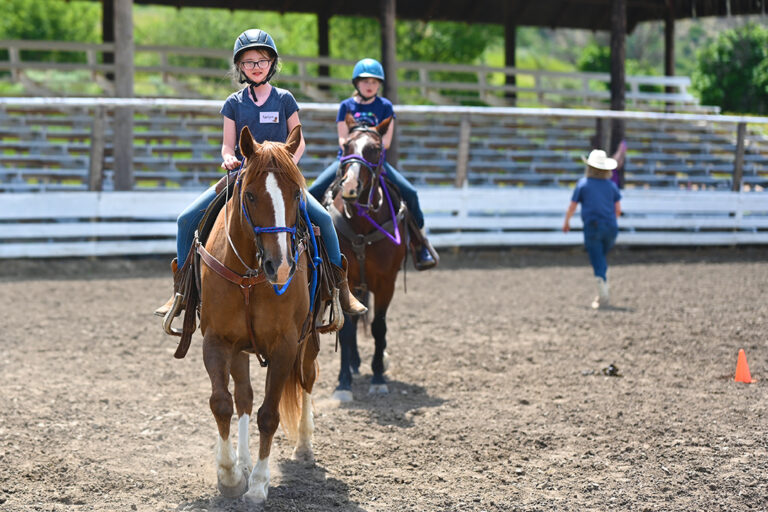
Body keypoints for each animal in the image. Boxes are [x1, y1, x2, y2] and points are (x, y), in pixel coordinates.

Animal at [200, 125, 320, 504]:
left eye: (296, 194)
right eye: (250, 195)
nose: (280, 267)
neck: (250, 276)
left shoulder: (285, 346)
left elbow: (269, 415)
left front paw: (257, 485)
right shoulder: (217, 341)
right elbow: (222, 403)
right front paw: (229, 475)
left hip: (309, 340)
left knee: (307, 379)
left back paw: (304, 447)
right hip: (240, 349)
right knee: (243, 399)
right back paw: (243, 462)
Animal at [324, 114, 408, 402]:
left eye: (376, 149)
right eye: (346, 145)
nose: (350, 186)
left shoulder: (386, 282)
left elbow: (378, 327)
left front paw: (378, 377)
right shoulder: (345, 280)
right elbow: (347, 331)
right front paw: (343, 383)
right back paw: (353, 364)